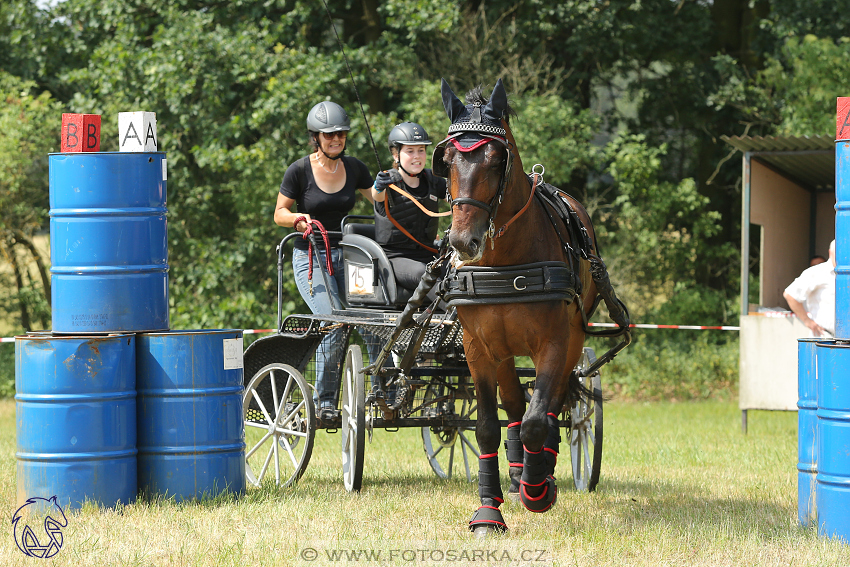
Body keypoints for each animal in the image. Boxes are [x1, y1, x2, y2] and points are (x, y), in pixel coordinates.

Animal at [434, 77, 628, 536]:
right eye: (447, 159)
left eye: (495, 159)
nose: (463, 241)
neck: (506, 260)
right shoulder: (478, 348)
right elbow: (489, 426)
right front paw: (489, 511)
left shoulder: (555, 342)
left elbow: (541, 419)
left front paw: (538, 491)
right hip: (504, 352)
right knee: (516, 409)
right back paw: (518, 468)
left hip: (572, 339)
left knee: (550, 407)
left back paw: (539, 473)